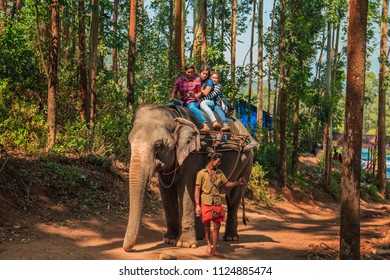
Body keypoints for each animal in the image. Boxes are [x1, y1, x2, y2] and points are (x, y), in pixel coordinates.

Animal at [123, 105, 258, 252]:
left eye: (158, 145)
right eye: (129, 141)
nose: (128, 249)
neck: (174, 116)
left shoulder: (193, 155)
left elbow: (187, 190)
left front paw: (185, 244)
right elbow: (166, 193)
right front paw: (169, 240)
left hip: (247, 163)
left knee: (233, 198)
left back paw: (230, 238)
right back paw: (200, 236)